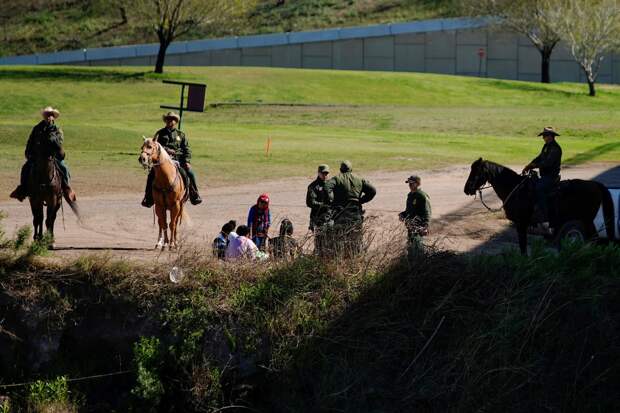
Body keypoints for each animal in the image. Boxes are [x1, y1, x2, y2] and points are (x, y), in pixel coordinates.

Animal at [462, 158, 612, 254]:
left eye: (476, 172)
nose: (466, 189)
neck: (515, 189)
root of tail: (595, 184)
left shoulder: (521, 223)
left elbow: (523, 246)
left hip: (587, 220)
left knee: (594, 239)